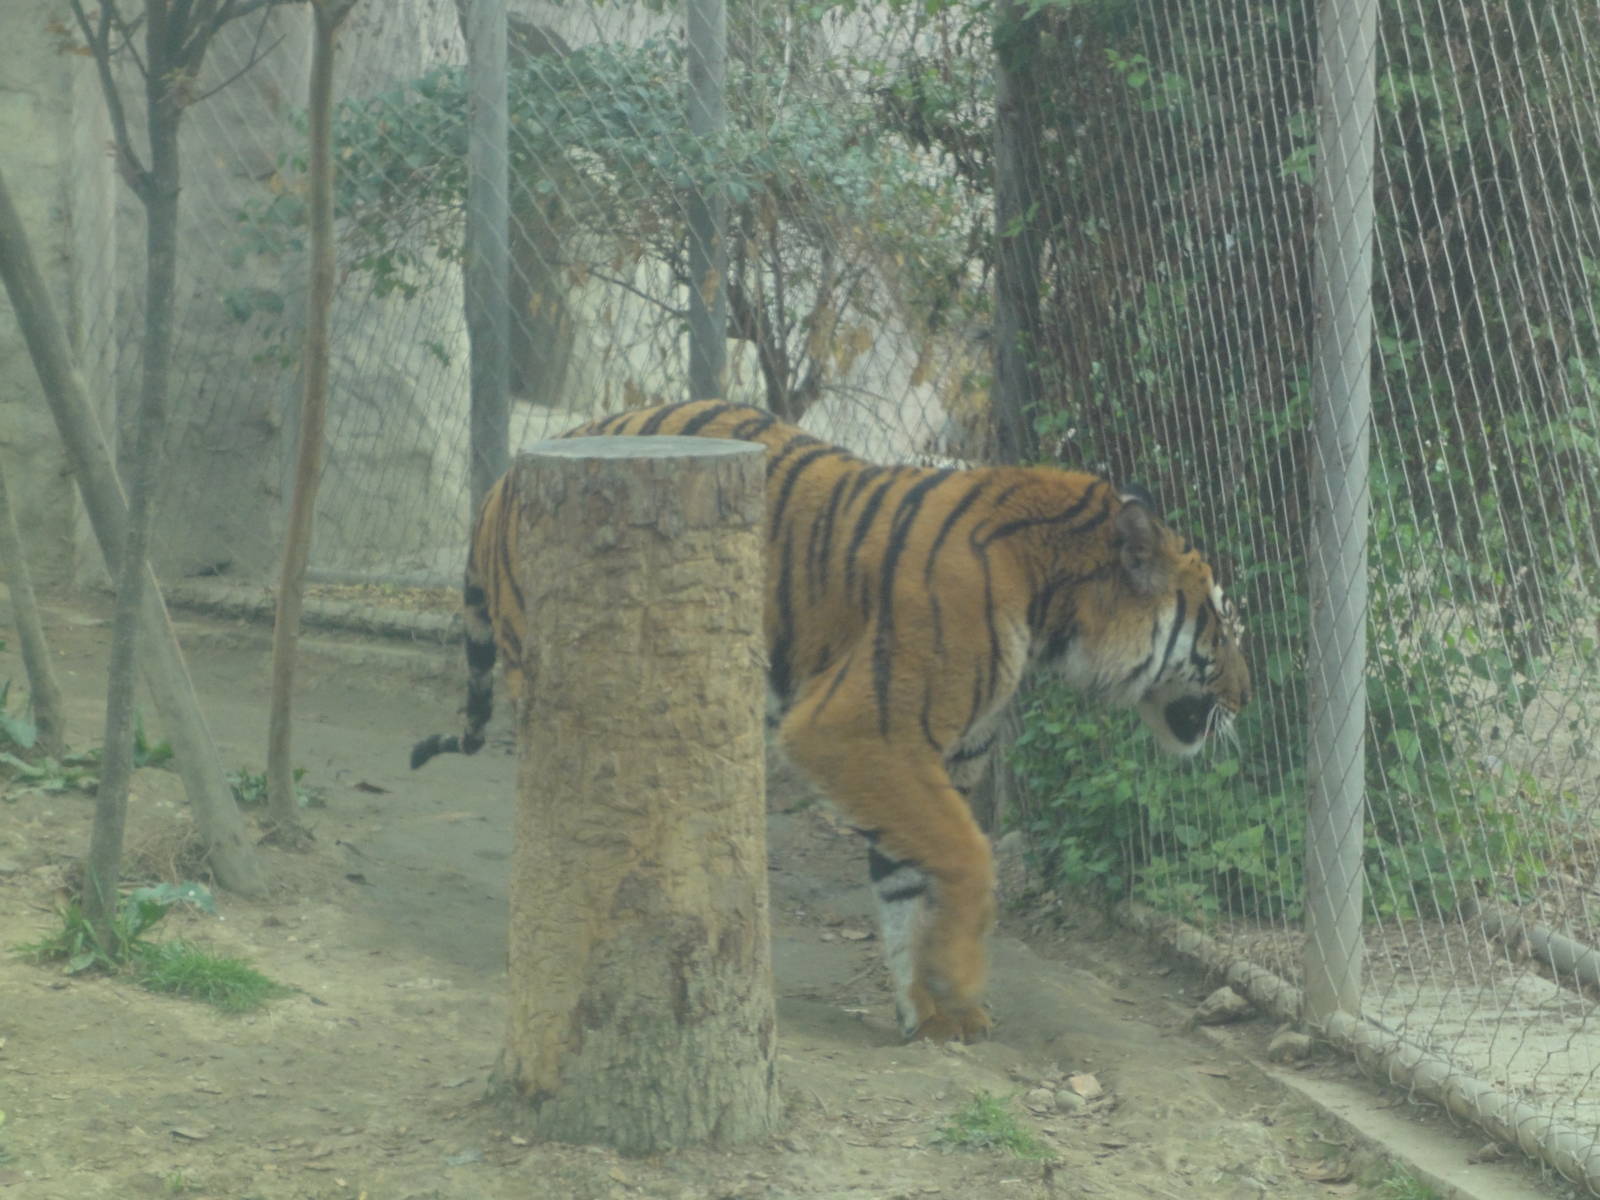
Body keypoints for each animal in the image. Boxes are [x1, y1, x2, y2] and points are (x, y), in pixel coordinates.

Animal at [410, 399, 1250, 1042]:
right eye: (1220, 625)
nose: (1248, 696)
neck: (1051, 611)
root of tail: (503, 477)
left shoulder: (928, 761)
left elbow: (911, 890)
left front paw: (933, 1012)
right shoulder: (857, 729)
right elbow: (969, 858)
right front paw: (958, 983)